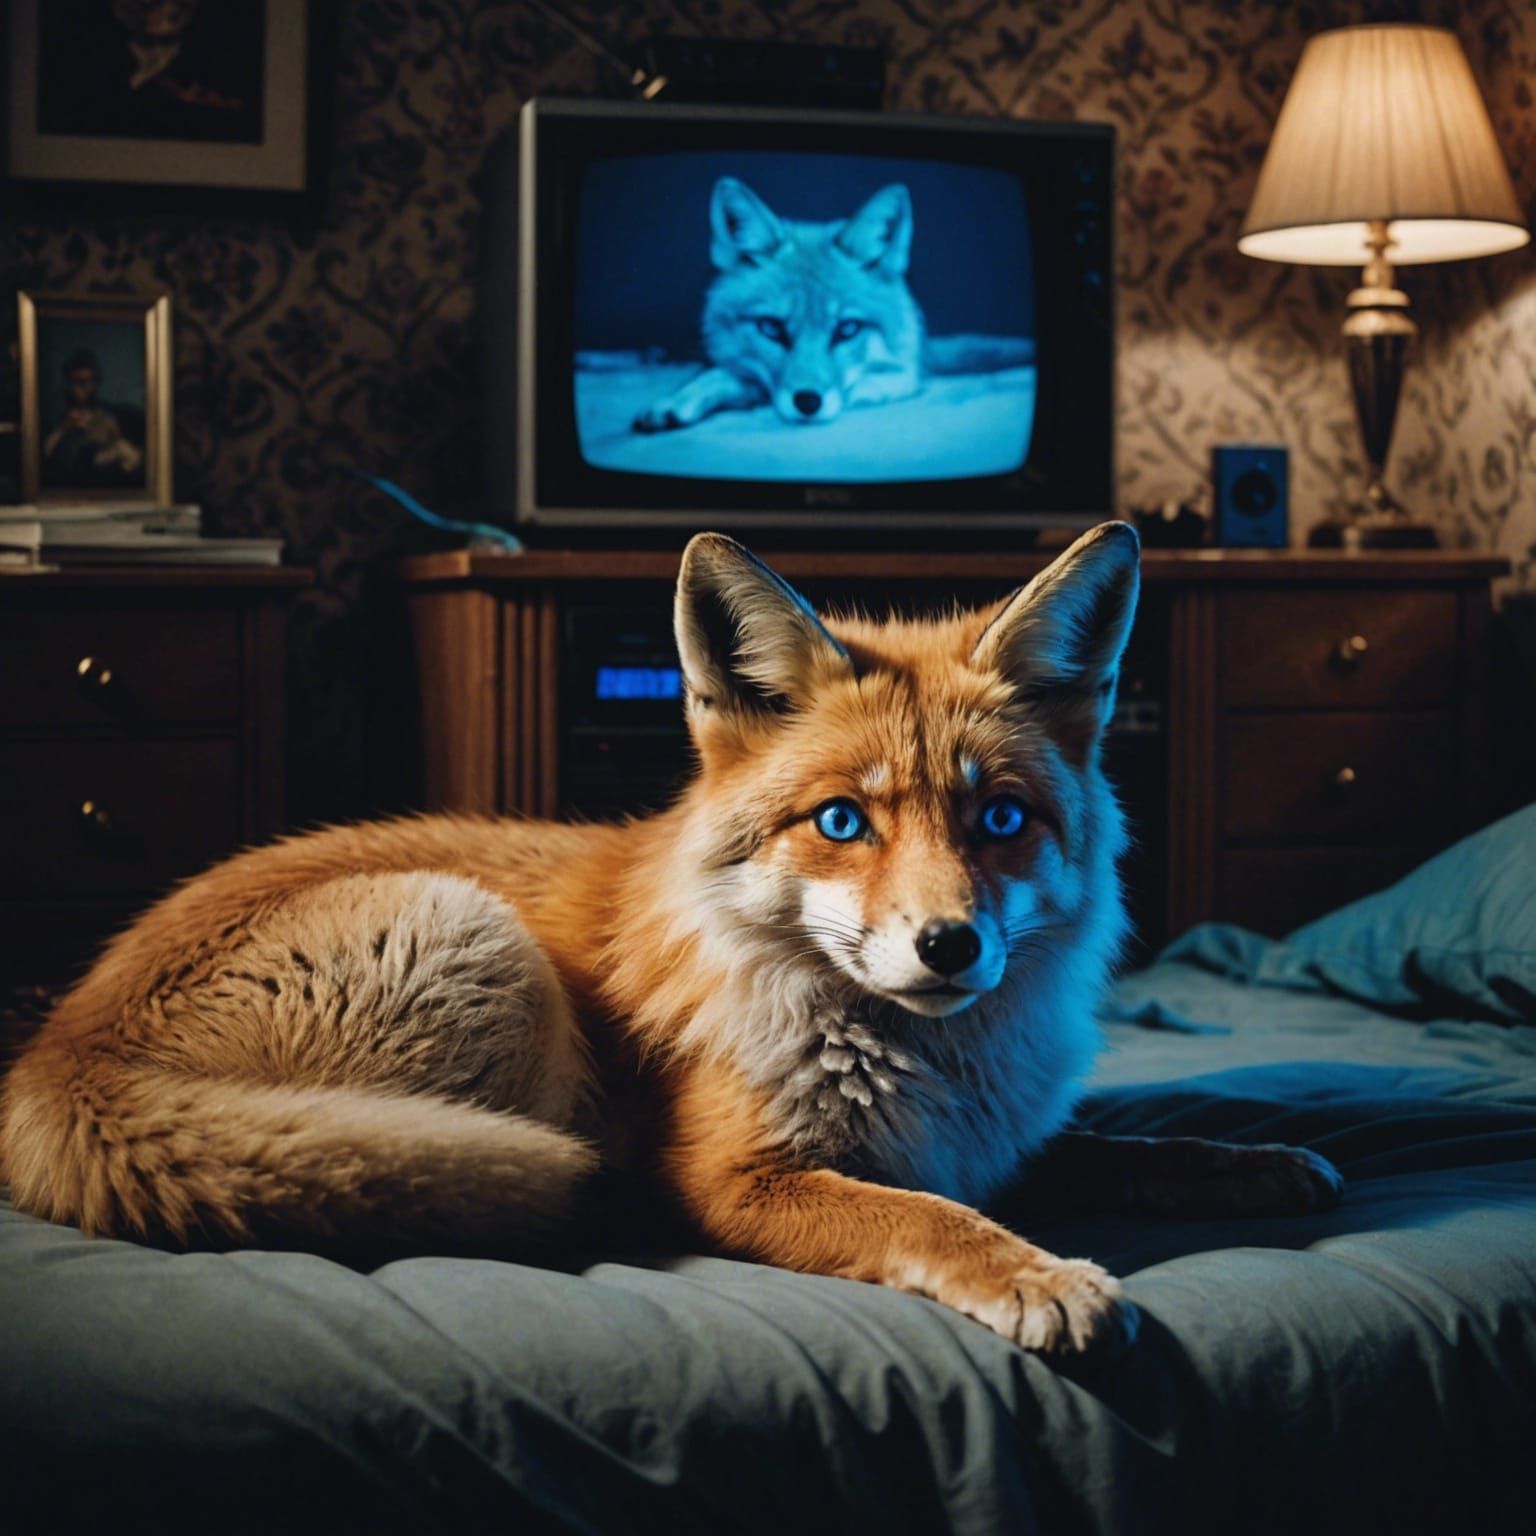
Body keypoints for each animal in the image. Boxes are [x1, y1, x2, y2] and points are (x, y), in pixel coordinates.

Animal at [0, 525, 1340, 1354]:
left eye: (1000, 819)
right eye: (842, 821)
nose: (949, 947)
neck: (926, 1070)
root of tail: (58, 1055)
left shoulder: (985, 1146)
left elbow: (1127, 1148)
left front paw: (1249, 1162)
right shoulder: (740, 1180)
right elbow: (926, 1222)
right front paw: (1037, 1273)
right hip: (482, 944)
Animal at [632, 176, 1032, 436]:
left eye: (847, 329)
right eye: (771, 328)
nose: (808, 402)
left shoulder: (909, 369)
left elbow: (901, 378)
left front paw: (867, 389)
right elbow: (718, 375)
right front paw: (677, 400)